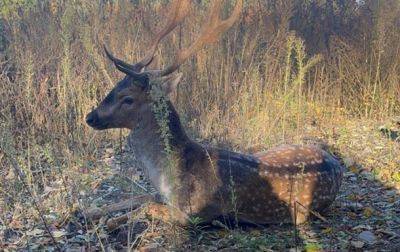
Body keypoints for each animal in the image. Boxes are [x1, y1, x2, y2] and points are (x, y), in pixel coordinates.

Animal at [85, 0, 344, 228]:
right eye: (115, 86)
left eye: (127, 98)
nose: (91, 117)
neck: (167, 175)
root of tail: (336, 163)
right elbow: (139, 197)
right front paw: (89, 211)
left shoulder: (191, 213)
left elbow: (145, 206)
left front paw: (110, 223)